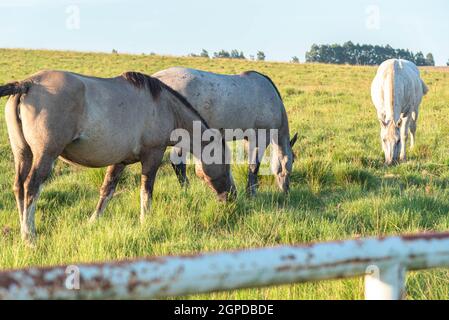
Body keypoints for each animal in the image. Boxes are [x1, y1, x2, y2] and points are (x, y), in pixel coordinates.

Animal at [0, 70, 234, 242]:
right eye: (227, 165)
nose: (232, 196)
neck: (165, 106)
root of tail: (27, 83)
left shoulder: (120, 161)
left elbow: (107, 190)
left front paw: (93, 221)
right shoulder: (153, 156)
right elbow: (146, 191)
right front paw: (145, 222)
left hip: (23, 154)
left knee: (19, 187)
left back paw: (22, 230)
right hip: (46, 155)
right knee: (31, 187)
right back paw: (30, 237)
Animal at [153, 67, 298, 195]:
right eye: (293, 161)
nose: (286, 190)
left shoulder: (248, 139)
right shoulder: (261, 137)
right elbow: (254, 166)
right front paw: (251, 193)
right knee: (178, 163)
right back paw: (186, 190)